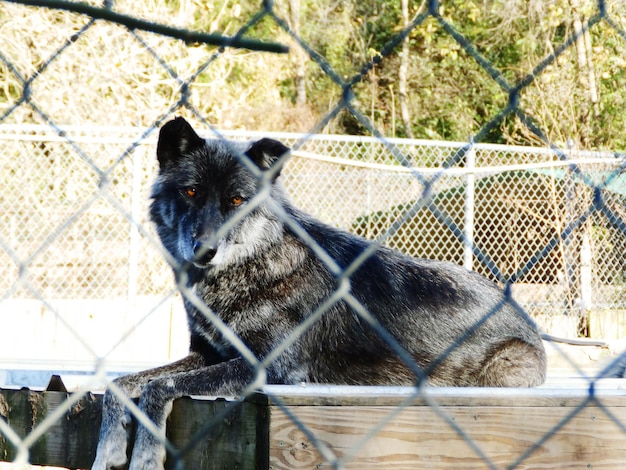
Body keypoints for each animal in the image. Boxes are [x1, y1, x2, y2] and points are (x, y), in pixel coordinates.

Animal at [90, 117, 544, 470]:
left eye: (236, 199)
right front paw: (108, 451)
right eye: (190, 192)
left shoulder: (265, 369)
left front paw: (145, 456)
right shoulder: (208, 354)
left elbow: (158, 387)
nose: (205, 250)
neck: (253, 265)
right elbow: (121, 382)